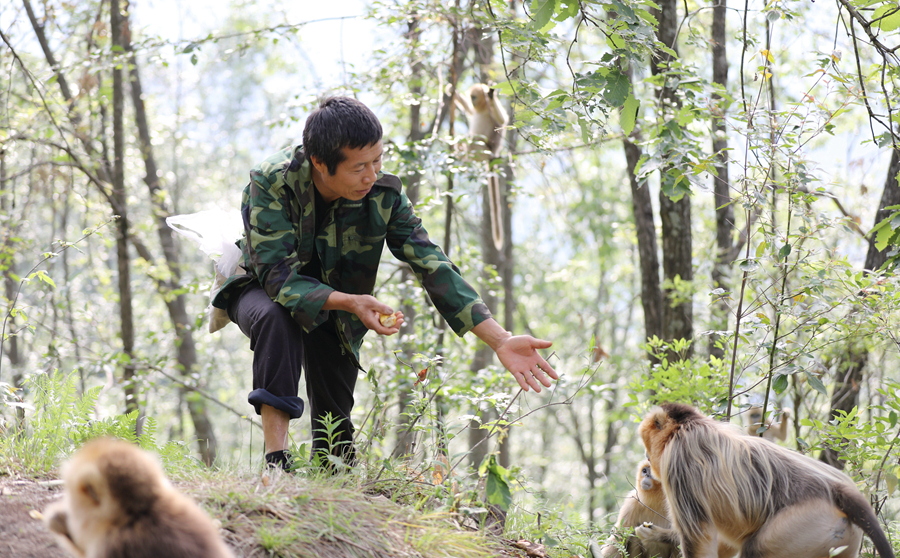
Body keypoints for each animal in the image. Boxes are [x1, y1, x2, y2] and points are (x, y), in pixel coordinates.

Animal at [454, 84, 510, 253]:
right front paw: (452, 91)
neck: (483, 108)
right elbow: (470, 111)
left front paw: (491, 95)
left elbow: (502, 120)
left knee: (472, 141)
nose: (472, 101)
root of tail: (493, 155)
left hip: (484, 150)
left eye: (474, 97)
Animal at [640, 404, 892, 558]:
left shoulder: (678, 461)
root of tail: (837, 489)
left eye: (647, 447)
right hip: (846, 536)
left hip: (806, 522)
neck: (687, 426)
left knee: (756, 550)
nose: (648, 458)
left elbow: (700, 537)